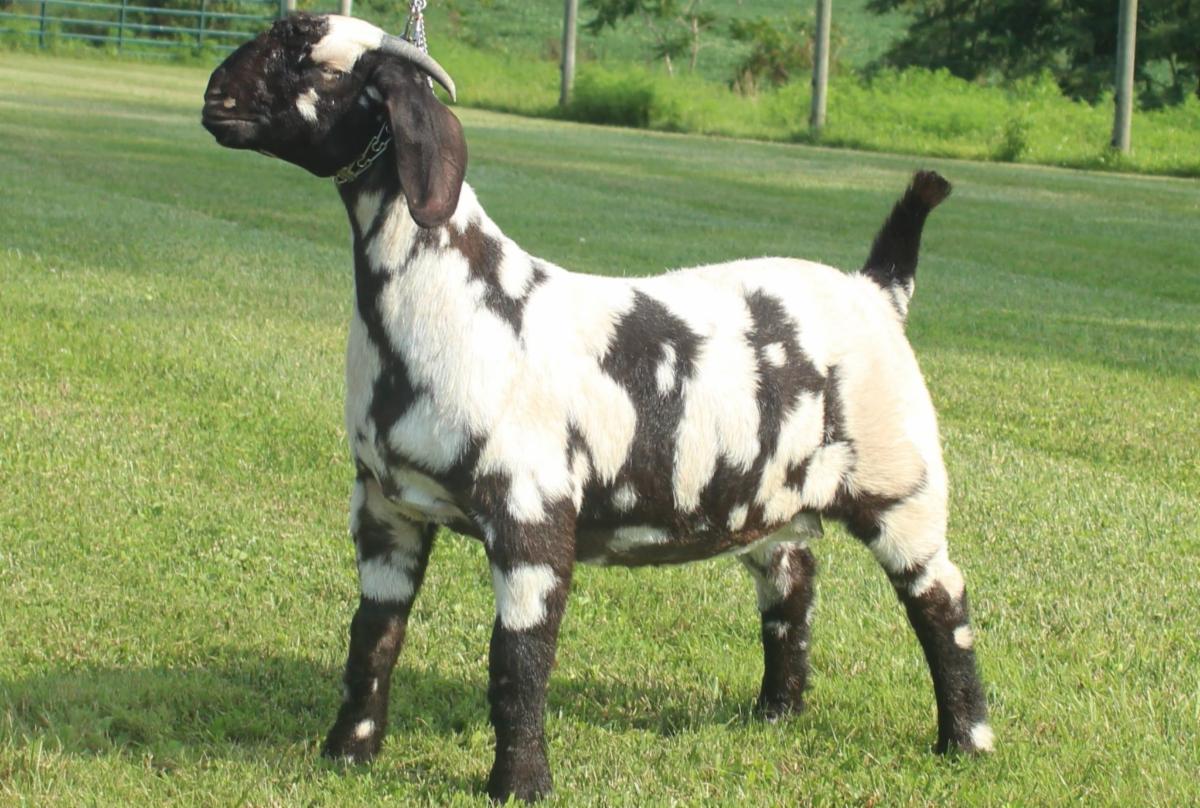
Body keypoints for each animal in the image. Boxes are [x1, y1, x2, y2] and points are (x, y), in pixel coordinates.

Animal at [202, 13, 992, 803]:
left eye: (311, 62)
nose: (215, 97)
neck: (456, 298)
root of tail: (877, 288)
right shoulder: (383, 508)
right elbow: (372, 640)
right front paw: (348, 753)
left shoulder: (531, 515)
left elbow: (518, 662)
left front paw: (519, 783)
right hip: (770, 502)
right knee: (791, 587)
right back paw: (776, 713)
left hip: (902, 486)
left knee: (943, 604)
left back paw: (966, 741)